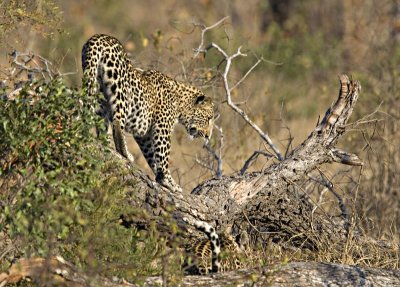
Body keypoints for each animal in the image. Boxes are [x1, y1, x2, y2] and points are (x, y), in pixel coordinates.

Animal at [80, 35, 212, 192]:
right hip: (120, 90)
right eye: (209, 118)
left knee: (100, 122)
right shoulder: (162, 128)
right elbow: (163, 155)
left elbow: (151, 155)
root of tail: (98, 38)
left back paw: (105, 143)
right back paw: (125, 153)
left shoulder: (144, 134)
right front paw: (169, 182)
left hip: (97, 89)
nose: (208, 136)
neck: (181, 101)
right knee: (117, 122)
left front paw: (161, 177)